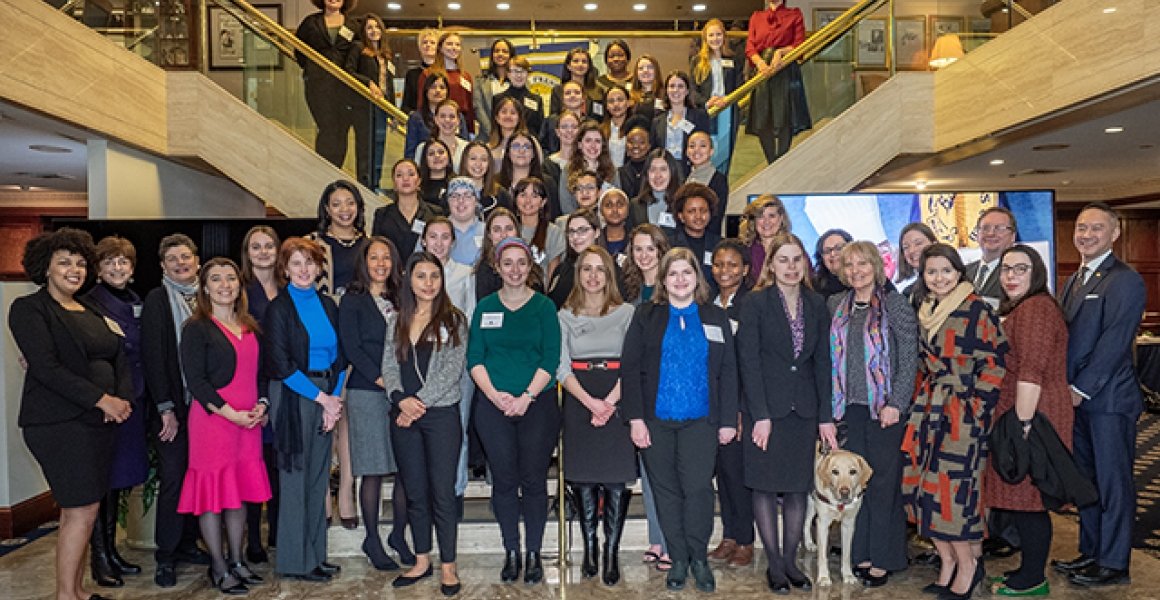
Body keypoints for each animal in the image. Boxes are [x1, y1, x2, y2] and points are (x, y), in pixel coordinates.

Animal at [807, 450, 872, 584]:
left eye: (853, 471)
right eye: (835, 472)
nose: (844, 492)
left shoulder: (848, 525)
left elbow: (846, 554)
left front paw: (848, 575)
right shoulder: (822, 524)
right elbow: (822, 556)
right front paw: (823, 577)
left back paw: (809, 543)